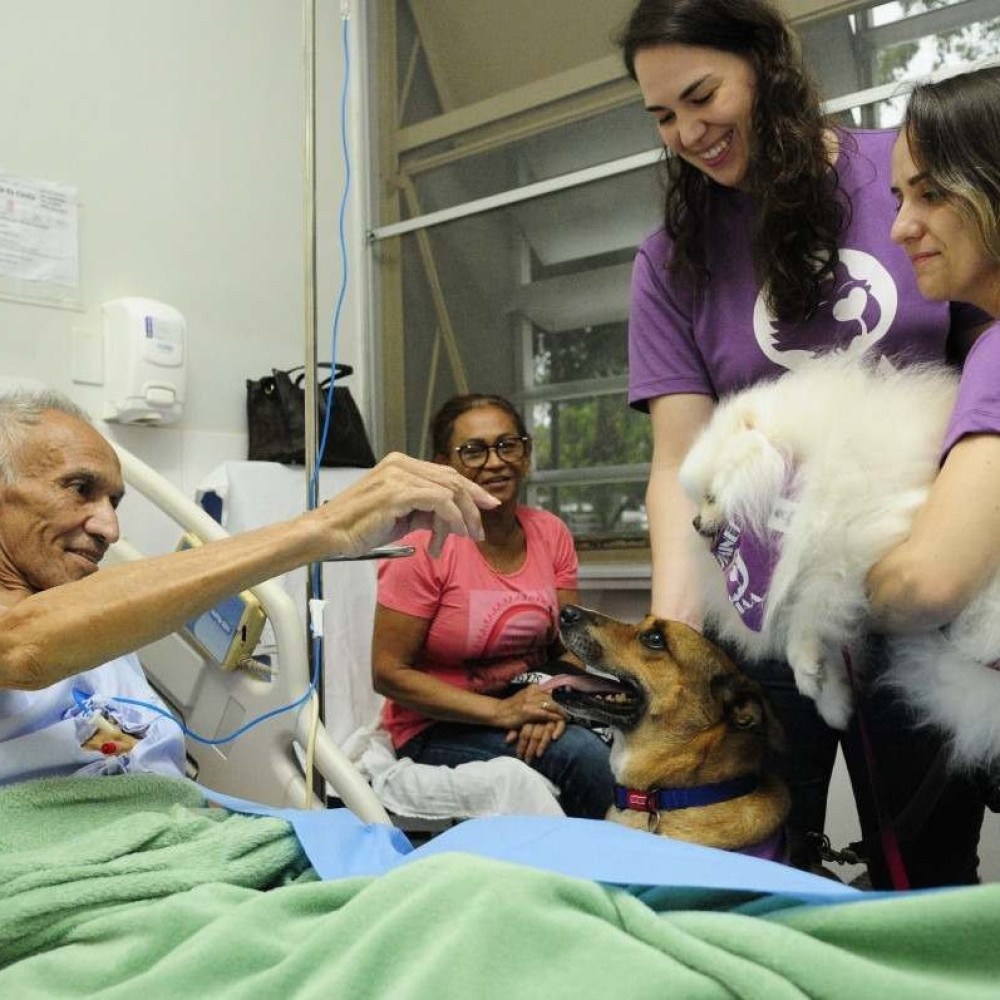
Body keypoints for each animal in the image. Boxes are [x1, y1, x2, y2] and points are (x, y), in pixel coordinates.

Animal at [680, 352, 984, 744]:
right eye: (699, 500)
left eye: (711, 497)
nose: (695, 523)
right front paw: (832, 701)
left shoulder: (853, 544)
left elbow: (810, 607)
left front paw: (806, 665)